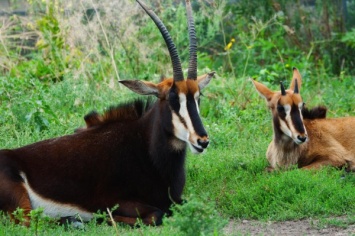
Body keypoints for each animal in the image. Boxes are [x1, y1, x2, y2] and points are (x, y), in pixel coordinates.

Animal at [0, 0, 214, 227]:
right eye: (173, 99)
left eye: (198, 98)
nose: (202, 140)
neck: (146, 148)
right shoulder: (114, 201)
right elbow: (156, 214)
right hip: (23, 204)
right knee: (30, 222)